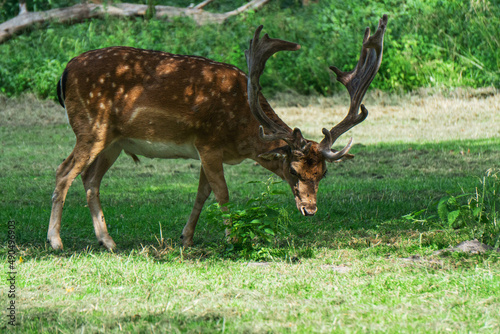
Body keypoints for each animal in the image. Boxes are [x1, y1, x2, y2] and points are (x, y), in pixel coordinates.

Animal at [47, 15, 388, 250]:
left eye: (323, 173)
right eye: (293, 170)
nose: (311, 209)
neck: (244, 132)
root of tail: (64, 73)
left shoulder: (207, 151)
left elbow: (202, 193)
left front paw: (185, 238)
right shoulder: (208, 143)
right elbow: (222, 193)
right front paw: (232, 237)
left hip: (114, 141)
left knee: (90, 178)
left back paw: (108, 242)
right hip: (90, 127)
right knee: (64, 171)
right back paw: (56, 242)